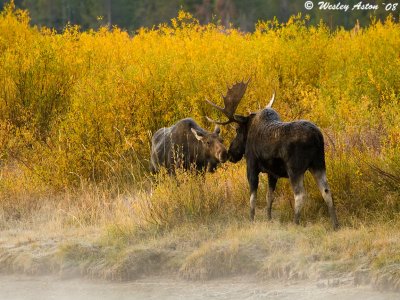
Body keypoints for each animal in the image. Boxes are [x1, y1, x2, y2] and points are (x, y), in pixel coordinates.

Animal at [208, 80, 340, 230]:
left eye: (237, 129)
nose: (230, 153)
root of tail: (317, 137)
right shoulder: (272, 173)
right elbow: (269, 197)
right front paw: (269, 219)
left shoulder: (252, 166)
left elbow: (253, 197)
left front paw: (251, 220)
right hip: (319, 164)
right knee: (326, 191)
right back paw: (335, 224)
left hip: (295, 169)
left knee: (300, 194)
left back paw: (296, 222)